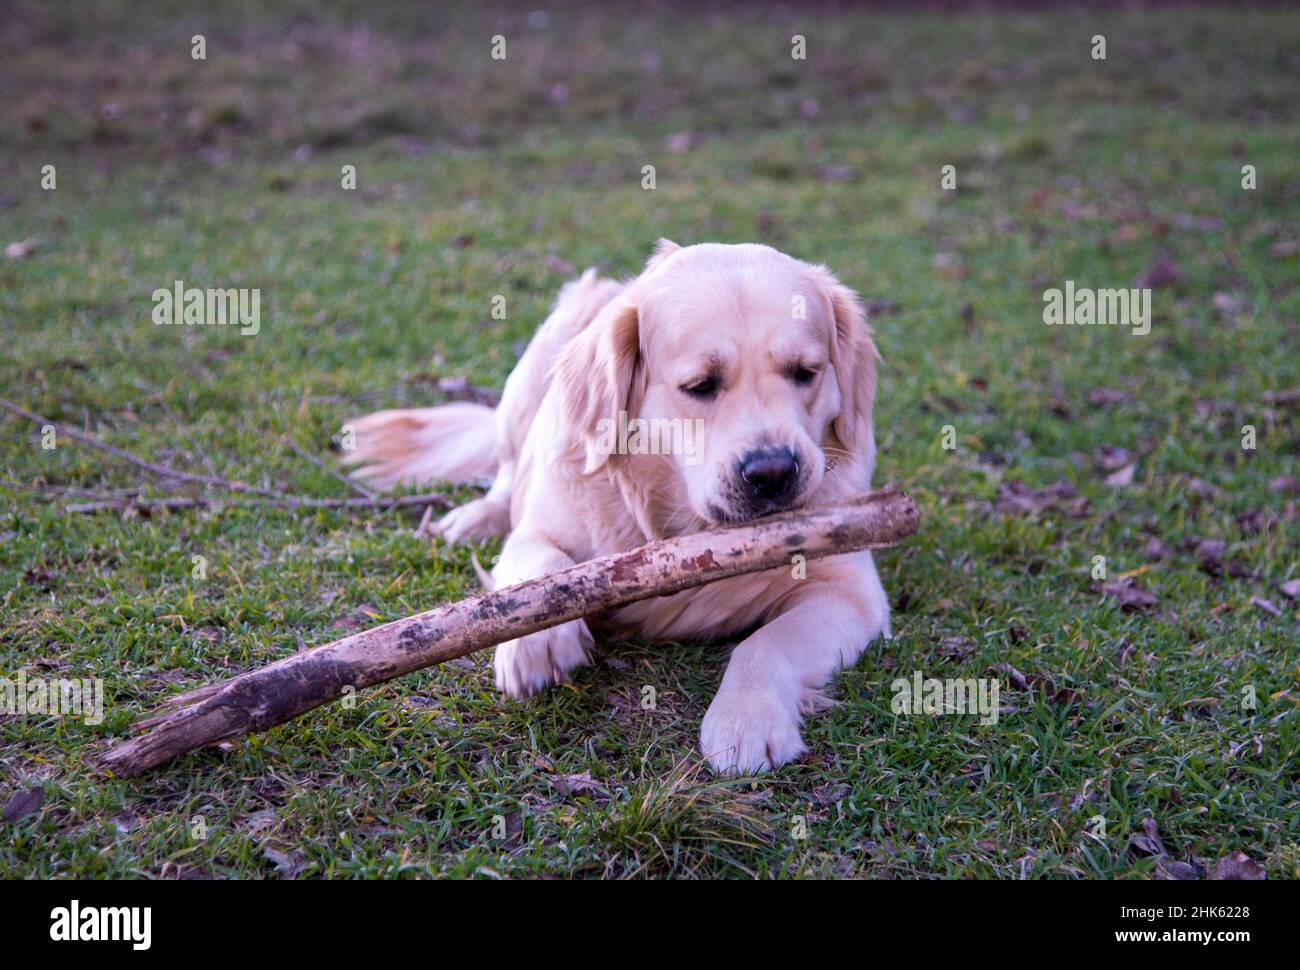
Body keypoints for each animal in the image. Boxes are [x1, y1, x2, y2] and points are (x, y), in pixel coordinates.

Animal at [345, 240, 889, 769]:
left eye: (805, 373)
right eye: (701, 386)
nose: (773, 472)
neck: (682, 530)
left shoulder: (850, 590)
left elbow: (766, 642)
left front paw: (745, 718)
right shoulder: (542, 529)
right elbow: (534, 568)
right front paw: (535, 641)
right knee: (507, 474)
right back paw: (475, 518)